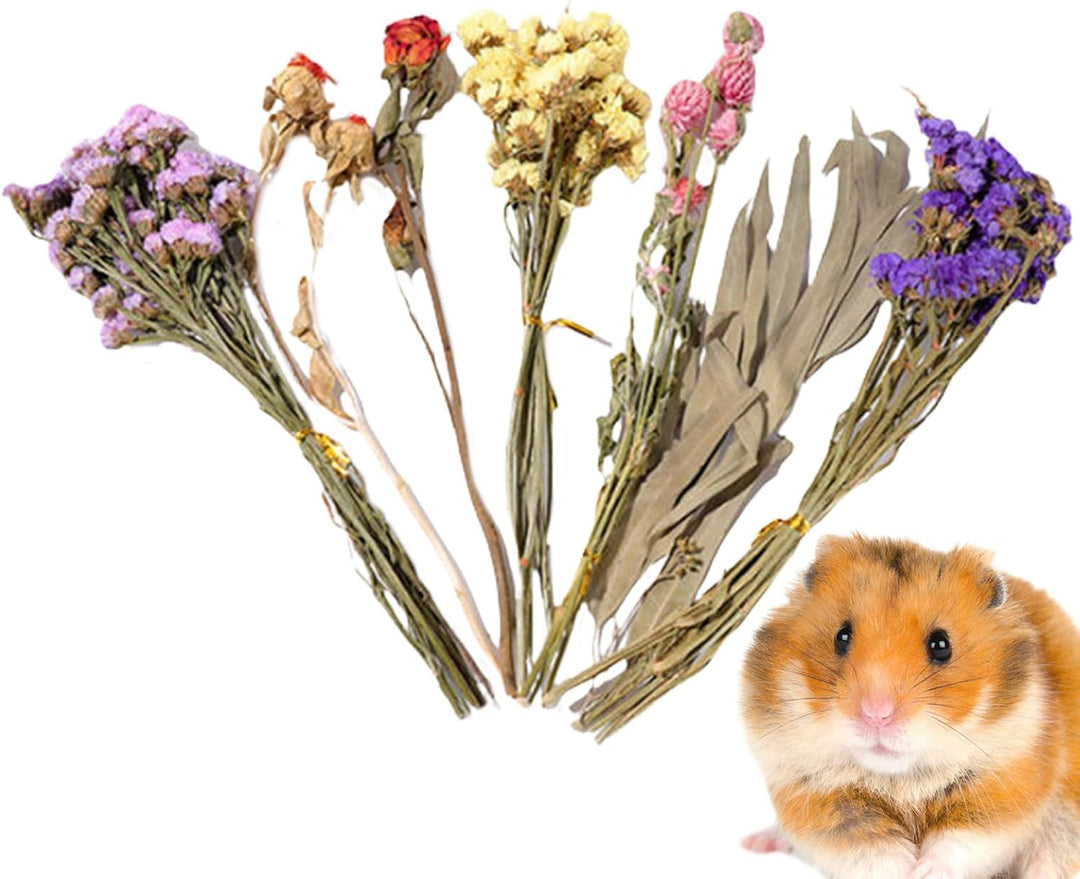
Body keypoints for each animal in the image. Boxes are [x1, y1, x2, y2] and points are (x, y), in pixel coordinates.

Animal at [739, 535, 1080, 879]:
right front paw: (904, 871)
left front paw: (924, 871)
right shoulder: (819, 800)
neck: (900, 780)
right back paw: (756, 842)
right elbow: (872, 850)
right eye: (842, 636)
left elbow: (958, 842)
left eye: (941, 645)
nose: (877, 714)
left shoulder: (1000, 792)